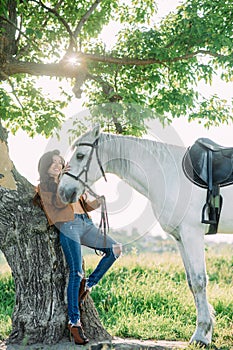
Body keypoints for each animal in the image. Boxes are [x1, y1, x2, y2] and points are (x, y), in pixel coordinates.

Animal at [58, 124, 233, 346]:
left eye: (80, 155)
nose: (63, 191)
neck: (169, 175)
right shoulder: (180, 238)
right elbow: (191, 282)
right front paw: (205, 332)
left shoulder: (192, 234)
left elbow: (199, 281)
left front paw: (201, 335)